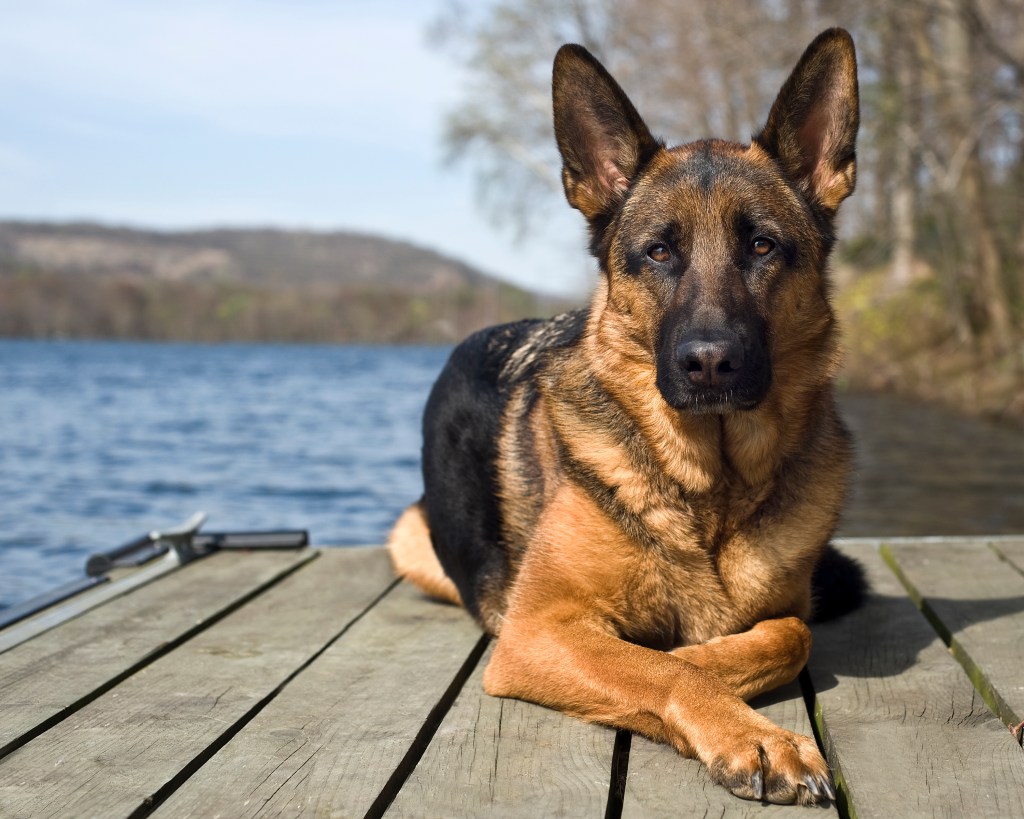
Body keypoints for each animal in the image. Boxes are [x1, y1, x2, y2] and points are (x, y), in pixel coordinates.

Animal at [389, 27, 864, 806]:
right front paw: (749, 729)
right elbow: (663, 665)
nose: (710, 362)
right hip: (412, 539)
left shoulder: (785, 608)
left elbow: (787, 633)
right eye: (659, 251)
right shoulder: (536, 630)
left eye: (762, 245)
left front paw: (712, 656)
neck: (711, 487)